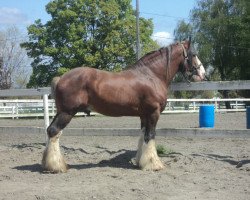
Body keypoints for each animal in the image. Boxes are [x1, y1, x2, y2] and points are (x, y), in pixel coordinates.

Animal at [41, 38, 205, 172]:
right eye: (194, 54)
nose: (203, 74)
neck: (151, 75)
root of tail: (61, 78)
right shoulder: (153, 112)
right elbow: (150, 136)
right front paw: (154, 164)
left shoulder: (144, 115)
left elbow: (143, 136)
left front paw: (140, 162)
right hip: (67, 113)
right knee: (54, 131)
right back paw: (56, 166)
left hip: (61, 112)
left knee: (50, 130)